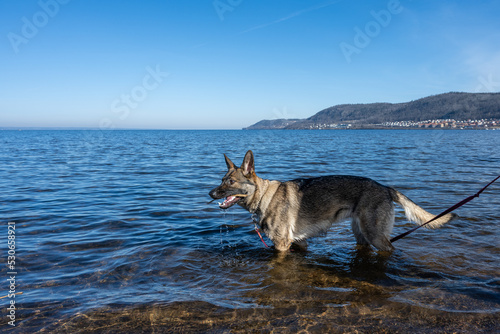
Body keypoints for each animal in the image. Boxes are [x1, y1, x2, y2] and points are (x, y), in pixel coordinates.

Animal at [207, 150, 458, 252]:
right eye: (222, 180)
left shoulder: (281, 245)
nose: (210, 194)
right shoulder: (298, 243)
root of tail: (385, 187)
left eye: (231, 182)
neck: (263, 197)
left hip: (376, 237)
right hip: (361, 236)